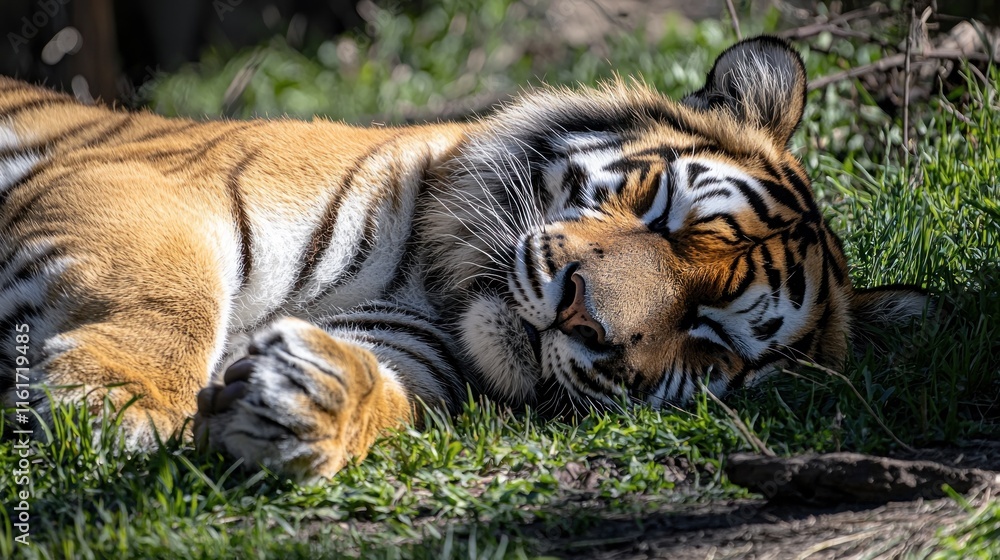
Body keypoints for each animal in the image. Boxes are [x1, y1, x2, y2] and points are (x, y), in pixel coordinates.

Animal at [0, 37, 927, 479]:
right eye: (661, 210)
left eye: (712, 340)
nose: (584, 316)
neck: (432, 284)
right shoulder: (159, 189)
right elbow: (173, 290)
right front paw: (122, 406)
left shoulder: (405, 346)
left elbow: (377, 394)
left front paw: (304, 401)